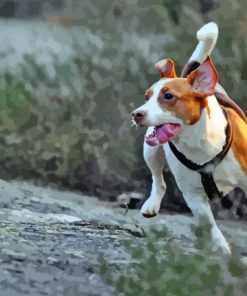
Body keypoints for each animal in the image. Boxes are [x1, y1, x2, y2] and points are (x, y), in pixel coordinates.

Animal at [132, 23, 247, 254]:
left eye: (168, 96)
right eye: (147, 97)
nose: (136, 114)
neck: (199, 143)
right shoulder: (193, 196)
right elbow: (210, 225)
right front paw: (221, 248)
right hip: (150, 150)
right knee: (158, 180)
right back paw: (151, 204)